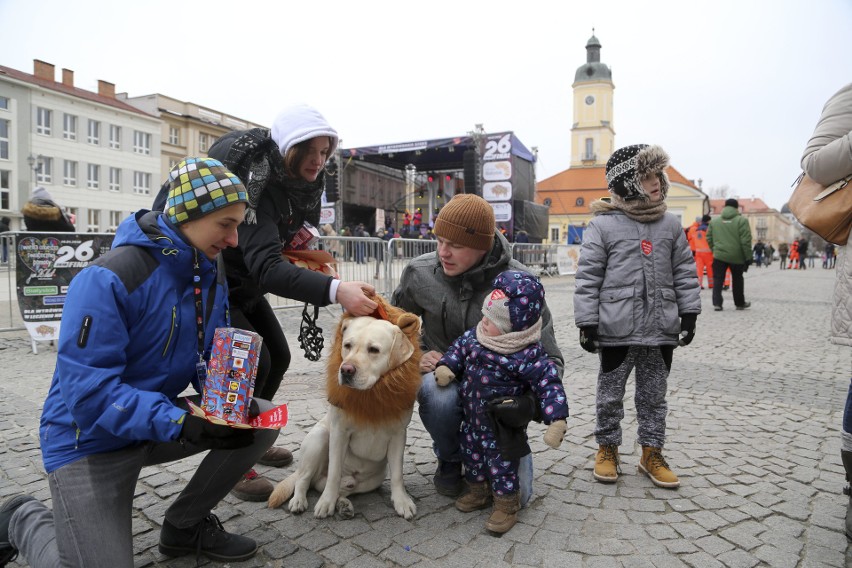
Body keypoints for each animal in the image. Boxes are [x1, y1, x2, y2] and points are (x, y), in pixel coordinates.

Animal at [268, 298, 422, 520]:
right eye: (347, 345)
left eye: (374, 349)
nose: (346, 370)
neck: (370, 395)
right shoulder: (339, 432)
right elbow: (334, 473)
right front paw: (326, 503)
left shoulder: (398, 435)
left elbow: (397, 474)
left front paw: (402, 501)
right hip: (319, 438)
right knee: (304, 479)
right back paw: (300, 500)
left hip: (371, 480)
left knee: (334, 486)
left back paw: (344, 504)